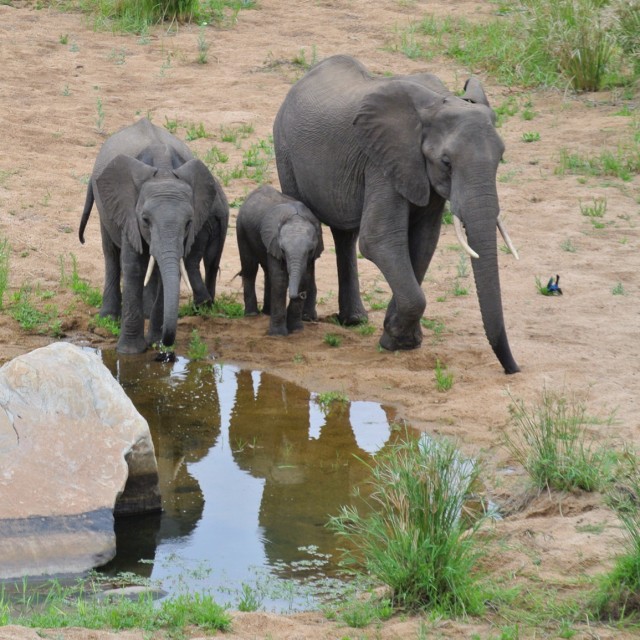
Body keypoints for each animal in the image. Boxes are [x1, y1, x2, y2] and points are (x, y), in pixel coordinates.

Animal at [79, 118, 229, 354]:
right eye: (145, 220)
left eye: (188, 223)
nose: (166, 344)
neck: (164, 170)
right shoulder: (128, 210)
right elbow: (133, 266)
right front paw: (130, 351)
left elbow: (168, 269)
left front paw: (156, 343)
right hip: (105, 208)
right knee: (110, 254)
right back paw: (108, 319)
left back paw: (147, 313)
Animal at [236, 185, 324, 336]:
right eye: (283, 250)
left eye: (310, 250)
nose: (302, 295)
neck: (296, 219)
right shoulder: (274, 241)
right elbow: (280, 280)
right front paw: (278, 334)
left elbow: (304, 279)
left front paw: (296, 330)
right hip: (241, 229)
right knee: (250, 269)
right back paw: (252, 315)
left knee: (266, 272)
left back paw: (267, 312)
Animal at [273, 55, 520, 373]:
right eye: (446, 162)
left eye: (500, 158)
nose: (512, 369)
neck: (439, 102)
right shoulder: (383, 161)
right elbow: (380, 240)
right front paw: (397, 342)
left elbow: (424, 242)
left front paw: (402, 339)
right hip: (284, 149)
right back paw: (309, 318)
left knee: (345, 235)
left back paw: (354, 320)